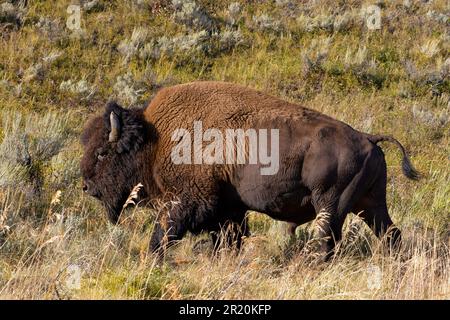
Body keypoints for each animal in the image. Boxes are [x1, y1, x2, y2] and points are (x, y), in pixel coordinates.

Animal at [80, 81, 418, 258]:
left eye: (102, 152)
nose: (86, 186)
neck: (156, 137)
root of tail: (368, 138)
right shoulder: (229, 209)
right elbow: (228, 238)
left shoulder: (185, 202)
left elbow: (163, 234)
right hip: (369, 204)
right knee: (390, 233)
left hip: (331, 205)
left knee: (326, 241)